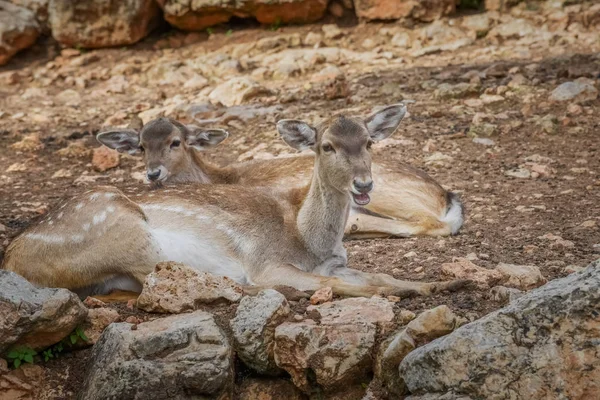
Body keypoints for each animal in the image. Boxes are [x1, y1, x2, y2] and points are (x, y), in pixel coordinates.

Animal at [97, 106, 464, 239]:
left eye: (175, 142)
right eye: (141, 146)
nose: (153, 174)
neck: (217, 177)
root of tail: (444, 196)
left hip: (388, 193)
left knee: (430, 223)